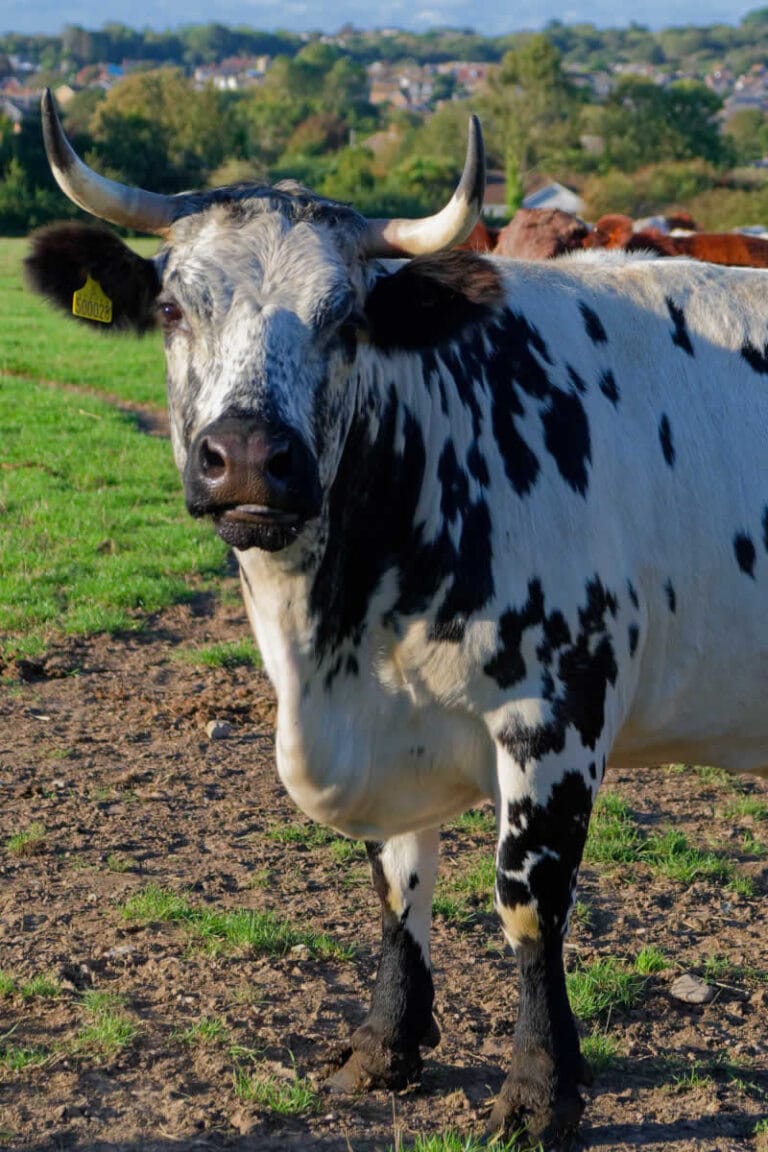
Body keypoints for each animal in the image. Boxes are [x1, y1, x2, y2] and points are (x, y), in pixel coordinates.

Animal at [26, 90, 768, 1146]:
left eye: (346, 318)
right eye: (171, 307)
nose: (247, 457)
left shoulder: (557, 714)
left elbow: (529, 905)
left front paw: (540, 1093)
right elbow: (395, 880)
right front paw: (387, 1047)